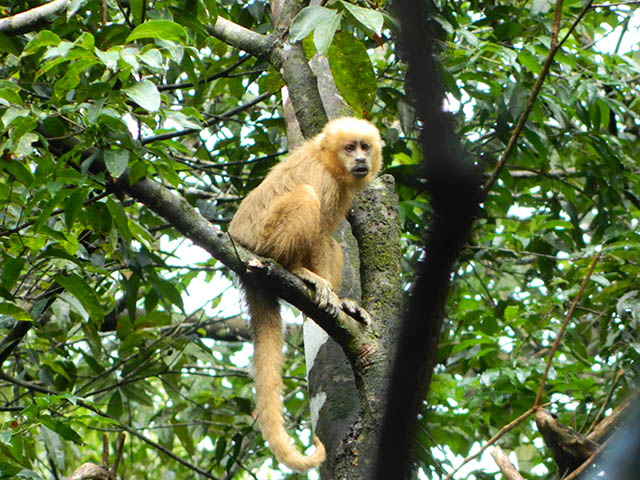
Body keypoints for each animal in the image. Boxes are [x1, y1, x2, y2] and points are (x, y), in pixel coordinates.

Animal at [229, 117, 382, 472]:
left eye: (364, 147)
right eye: (349, 147)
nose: (360, 160)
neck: (329, 162)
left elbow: (326, 240)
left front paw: (344, 305)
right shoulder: (323, 178)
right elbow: (317, 229)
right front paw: (315, 280)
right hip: (264, 241)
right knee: (307, 197)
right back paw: (293, 269)